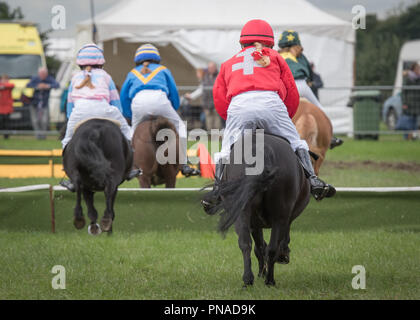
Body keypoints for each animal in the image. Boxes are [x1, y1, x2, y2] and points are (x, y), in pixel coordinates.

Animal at [205, 131, 310, 286]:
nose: (285, 258)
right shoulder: (277, 220)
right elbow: (265, 245)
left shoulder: (255, 222)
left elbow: (259, 246)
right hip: (279, 216)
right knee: (271, 247)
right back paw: (269, 280)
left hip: (243, 213)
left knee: (246, 243)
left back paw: (248, 279)